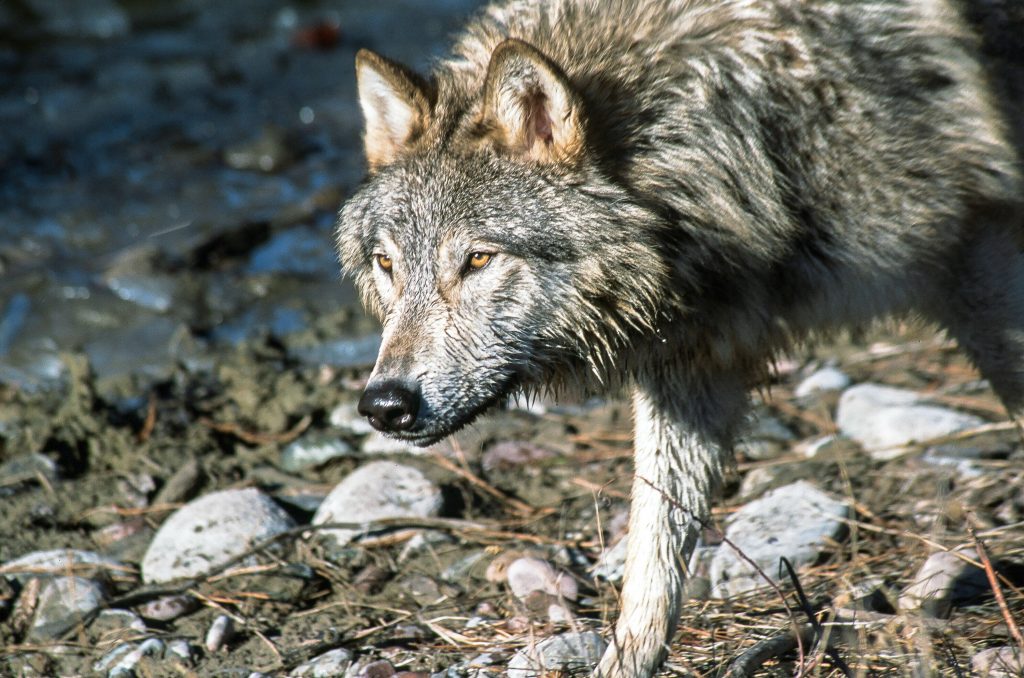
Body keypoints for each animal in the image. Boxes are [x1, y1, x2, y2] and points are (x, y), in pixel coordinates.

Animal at [335, 2, 1024, 675]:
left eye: (478, 259)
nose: (384, 405)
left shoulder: (981, 251)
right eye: (387, 264)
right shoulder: (692, 365)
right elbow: (652, 557)